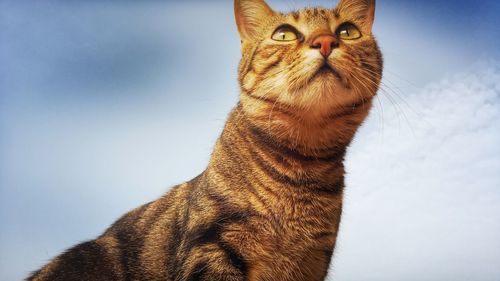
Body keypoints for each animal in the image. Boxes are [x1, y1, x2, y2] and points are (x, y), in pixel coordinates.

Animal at [27, 0, 382, 278]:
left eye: (347, 31)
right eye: (284, 33)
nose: (325, 41)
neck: (300, 169)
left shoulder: (312, 262)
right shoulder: (211, 248)